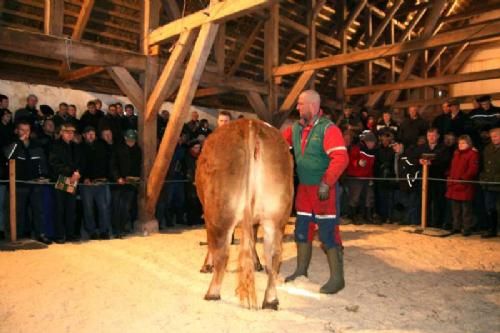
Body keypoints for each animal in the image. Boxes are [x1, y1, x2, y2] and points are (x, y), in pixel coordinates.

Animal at [195, 117, 292, 308]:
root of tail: (251, 123)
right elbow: (253, 238)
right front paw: (256, 263)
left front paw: (206, 265)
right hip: (276, 217)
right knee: (274, 254)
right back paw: (270, 299)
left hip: (219, 212)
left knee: (222, 252)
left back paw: (212, 293)